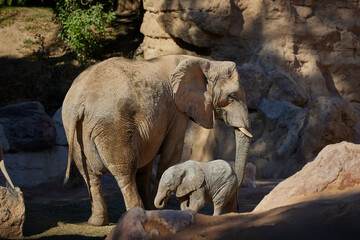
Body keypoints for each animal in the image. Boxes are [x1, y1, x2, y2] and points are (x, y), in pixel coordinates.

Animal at [62, 54, 252, 225]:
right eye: (232, 97)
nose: (237, 207)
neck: (203, 60)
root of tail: (79, 103)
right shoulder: (177, 110)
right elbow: (171, 154)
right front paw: (156, 210)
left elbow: (148, 162)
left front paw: (151, 208)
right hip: (113, 126)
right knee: (125, 172)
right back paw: (134, 213)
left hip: (74, 128)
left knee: (89, 175)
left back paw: (97, 222)